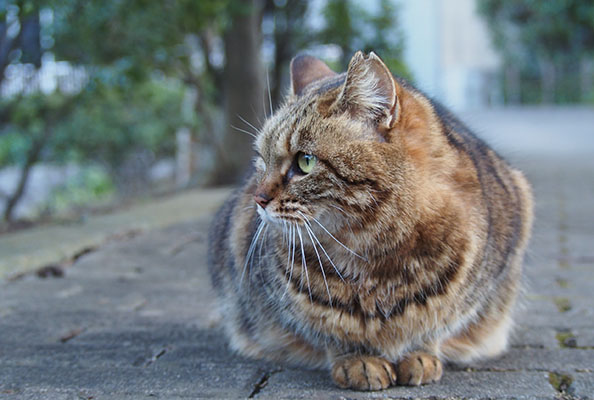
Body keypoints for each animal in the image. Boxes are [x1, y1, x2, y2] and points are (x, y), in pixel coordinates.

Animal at [208, 50, 532, 390]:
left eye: (305, 162)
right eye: (261, 160)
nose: (258, 200)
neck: (375, 255)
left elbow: (435, 323)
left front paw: (420, 354)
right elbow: (331, 329)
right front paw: (358, 360)